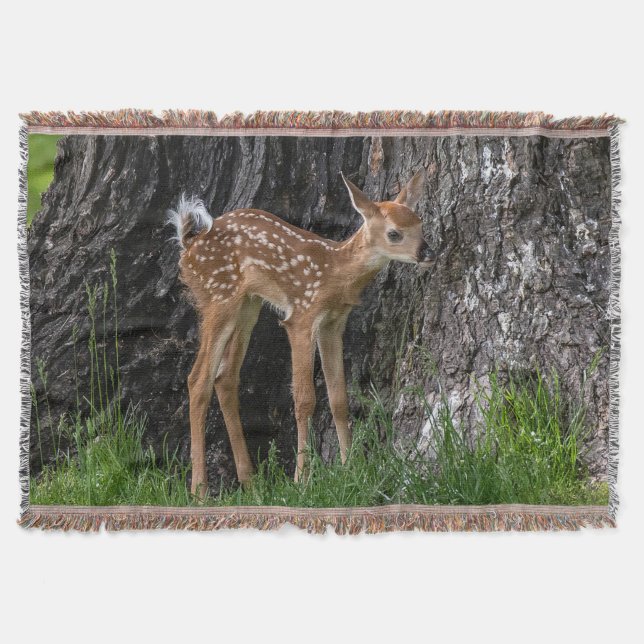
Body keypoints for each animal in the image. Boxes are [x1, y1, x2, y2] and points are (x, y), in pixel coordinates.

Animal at [169, 170, 436, 497]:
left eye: (420, 224)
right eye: (395, 233)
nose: (428, 253)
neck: (335, 271)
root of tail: (188, 245)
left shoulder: (333, 323)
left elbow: (338, 398)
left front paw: (351, 467)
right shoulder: (301, 317)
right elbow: (304, 399)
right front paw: (302, 480)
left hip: (248, 304)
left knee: (225, 377)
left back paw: (250, 482)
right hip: (218, 297)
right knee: (199, 379)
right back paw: (200, 490)